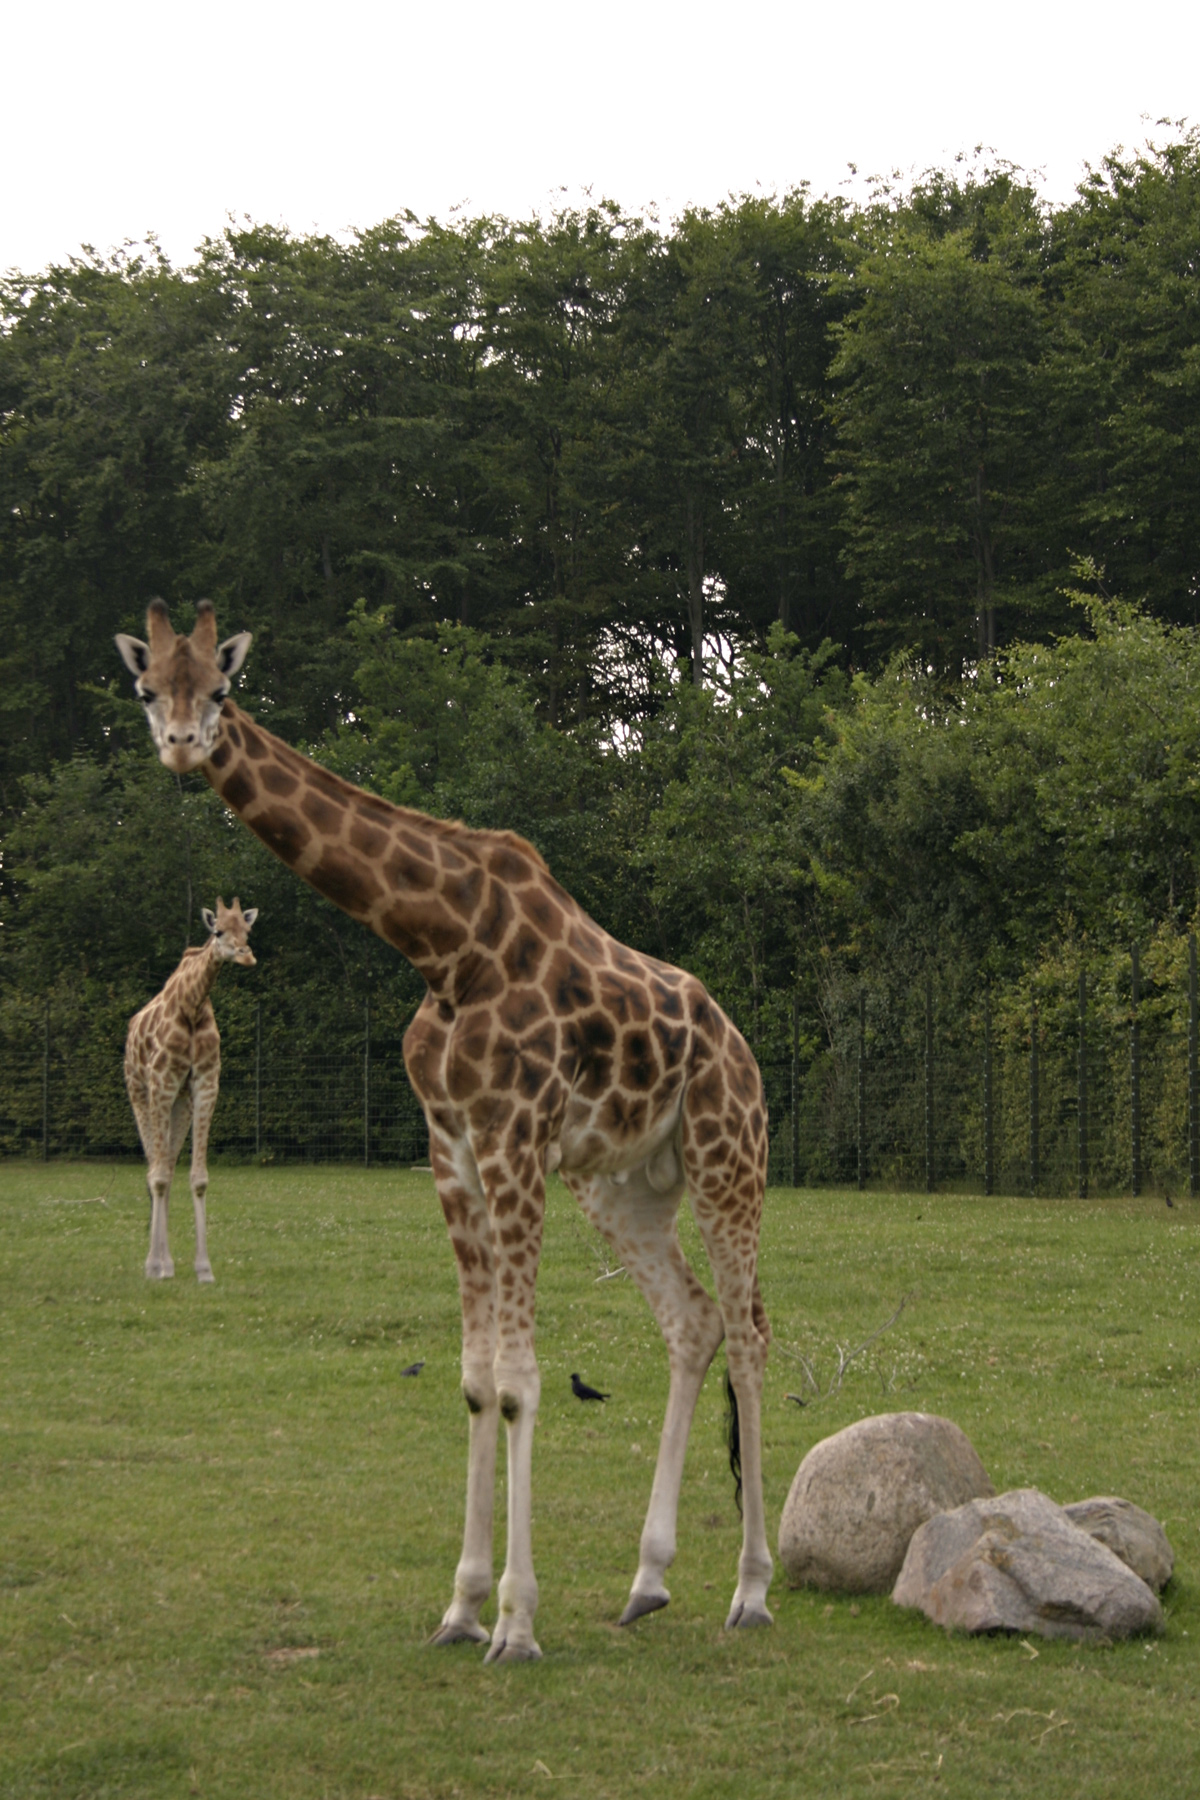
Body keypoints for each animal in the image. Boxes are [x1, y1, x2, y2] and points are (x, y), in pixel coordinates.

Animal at [126, 900, 259, 1281]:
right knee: (155, 1170)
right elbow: (157, 1177)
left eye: (247, 931)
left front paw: (204, 1269)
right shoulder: (162, 1080)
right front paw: (155, 1266)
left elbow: (197, 1178)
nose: (247, 956)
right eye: (218, 931)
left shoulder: (204, 1083)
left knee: (168, 1167)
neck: (193, 1005)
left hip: (179, 1103)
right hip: (139, 1091)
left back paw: (168, 1262)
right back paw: (156, 1264)